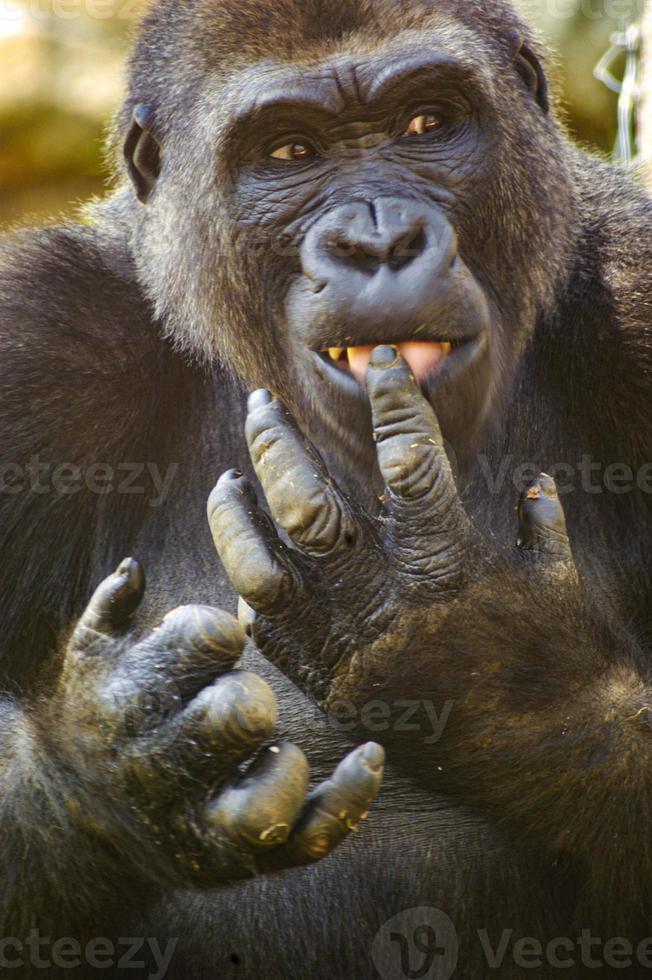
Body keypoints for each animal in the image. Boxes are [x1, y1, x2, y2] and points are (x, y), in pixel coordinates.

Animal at [1, 0, 652, 976]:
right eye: (290, 151)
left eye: (425, 123)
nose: (378, 242)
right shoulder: (36, 347)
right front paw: (113, 770)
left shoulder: (638, 285)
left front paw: (478, 659)